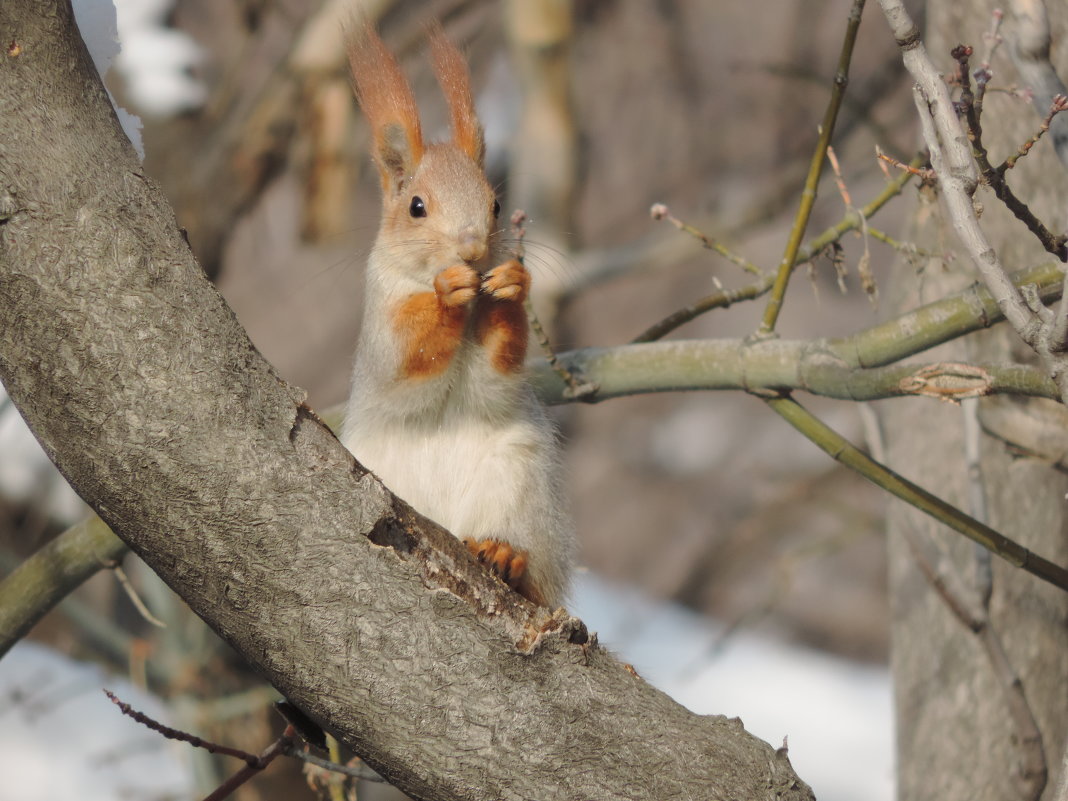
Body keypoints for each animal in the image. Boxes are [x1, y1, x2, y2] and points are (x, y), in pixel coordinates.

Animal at [341, 20, 576, 606]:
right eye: (416, 207)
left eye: (496, 204)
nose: (471, 250)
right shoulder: (381, 326)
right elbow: (409, 359)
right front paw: (447, 290)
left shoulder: (495, 377)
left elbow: (494, 374)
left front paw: (510, 287)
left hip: (520, 488)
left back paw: (505, 555)